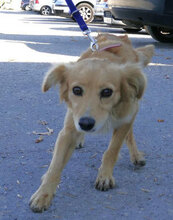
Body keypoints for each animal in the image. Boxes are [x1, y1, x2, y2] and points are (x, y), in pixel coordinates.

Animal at [29, 33, 153, 212]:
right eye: (77, 90)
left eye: (107, 92)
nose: (86, 124)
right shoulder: (69, 129)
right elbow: (55, 165)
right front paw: (43, 194)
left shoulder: (125, 117)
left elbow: (112, 150)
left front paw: (105, 175)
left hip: (132, 109)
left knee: (129, 134)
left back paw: (136, 156)